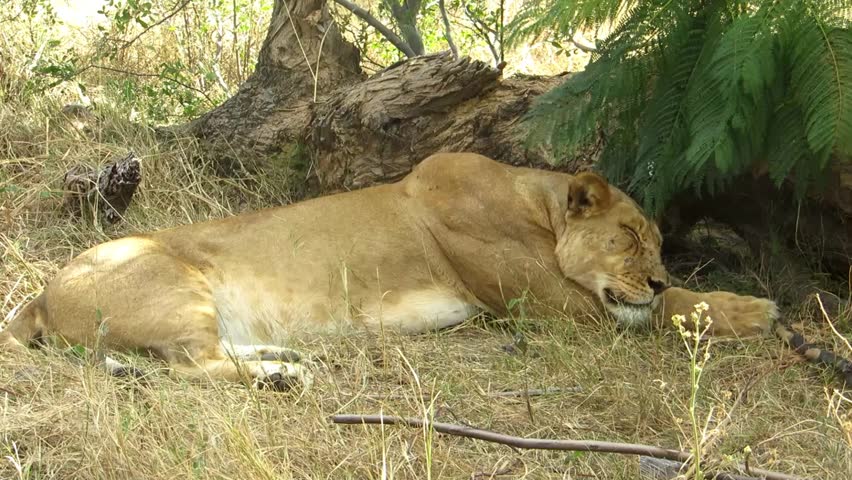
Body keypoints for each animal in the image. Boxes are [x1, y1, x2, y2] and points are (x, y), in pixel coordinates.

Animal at [1, 153, 778, 390]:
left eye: (658, 242)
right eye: (627, 238)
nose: (653, 275)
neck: (536, 205)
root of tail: (40, 293)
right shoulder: (554, 306)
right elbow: (669, 309)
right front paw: (754, 311)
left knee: (203, 355)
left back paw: (284, 357)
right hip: (172, 280)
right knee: (195, 366)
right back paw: (281, 374)